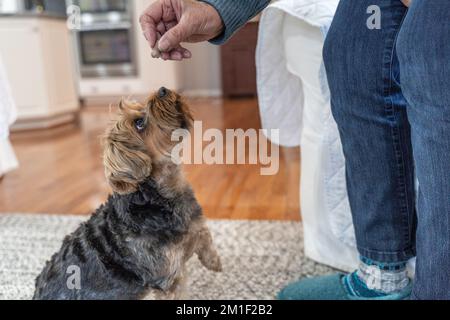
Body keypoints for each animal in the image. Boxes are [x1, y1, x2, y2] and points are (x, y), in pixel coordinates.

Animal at [33, 87, 221, 300]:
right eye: (139, 123)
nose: (163, 90)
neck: (163, 193)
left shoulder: (196, 224)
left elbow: (205, 237)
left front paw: (214, 262)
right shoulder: (168, 279)